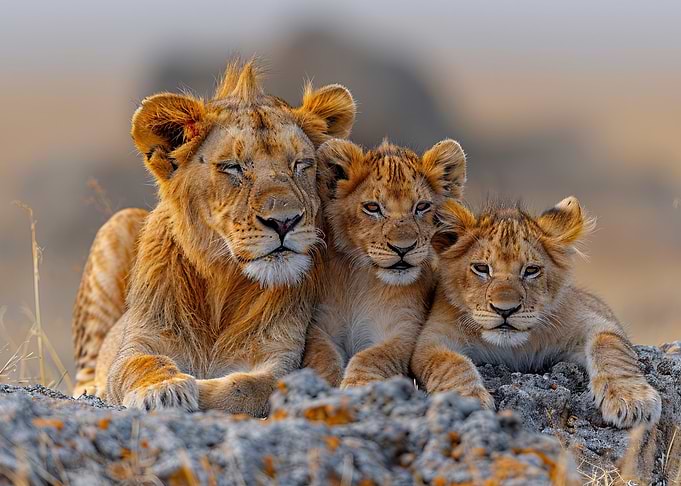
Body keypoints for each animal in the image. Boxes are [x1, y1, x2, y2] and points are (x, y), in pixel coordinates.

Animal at [71, 61, 356, 416]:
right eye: (232, 167)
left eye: (301, 164)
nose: (284, 221)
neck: (224, 281)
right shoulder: (139, 341)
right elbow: (139, 365)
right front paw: (163, 388)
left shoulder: (284, 356)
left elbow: (248, 388)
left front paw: (199, 388)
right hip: (118, 223)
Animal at [302, 138, 467, 388]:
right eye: (372, 208)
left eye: (421, 207)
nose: (403, 248)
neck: (362, 278)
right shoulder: (320, 325)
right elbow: (323, 357)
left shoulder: (403, 330)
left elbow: (370, 357)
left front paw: (356, 386)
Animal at [411, 197, 662, 427]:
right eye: (481, 268)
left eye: (531, 270)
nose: (505, 310)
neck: (511, 348)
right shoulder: (431, 341)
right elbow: (449, 363)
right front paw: (467, 402)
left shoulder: (593, 319)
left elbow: (611, 347)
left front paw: (631, 399)